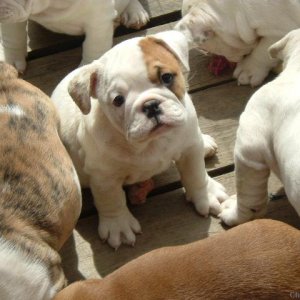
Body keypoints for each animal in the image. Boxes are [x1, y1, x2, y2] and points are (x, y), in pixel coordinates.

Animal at [0, 0, 149, 72]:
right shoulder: (13, 16)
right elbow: (13, 37)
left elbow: (93, 49)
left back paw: (134, 13)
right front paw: (11, 62)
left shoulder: (98, 21)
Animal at [51, 29, 229, 248]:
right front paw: (118, 226)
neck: (150, 143)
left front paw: (206, 195)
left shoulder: (189, 149)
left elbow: (195, 174)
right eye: (118, 100)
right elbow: (111, 199)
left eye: (166, 77)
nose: (151, 105)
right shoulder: (104, 177)